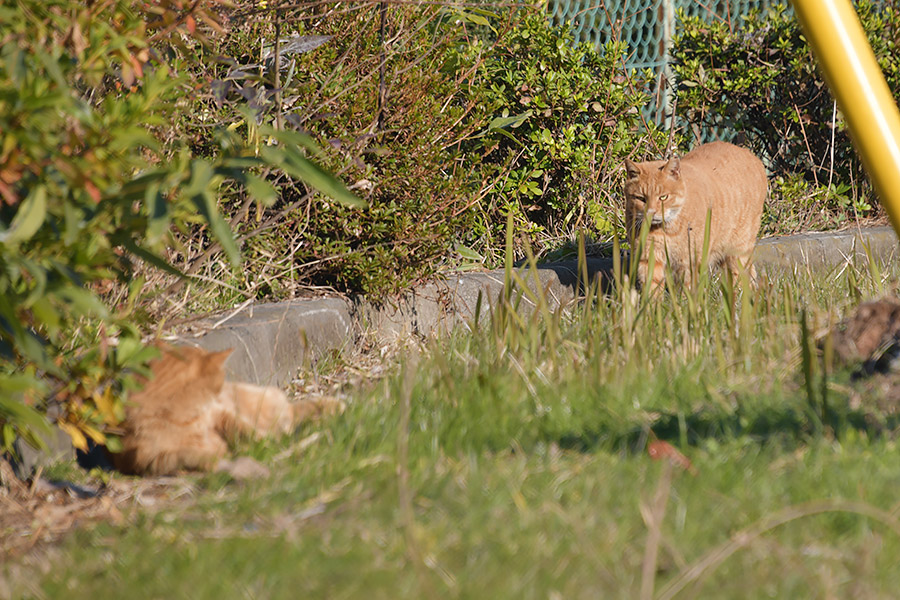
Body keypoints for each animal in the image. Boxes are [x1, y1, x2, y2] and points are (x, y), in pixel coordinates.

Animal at [111, 344, 338, 476]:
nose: (221, 388)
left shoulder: (220, 413)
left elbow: (239, 426)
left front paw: (261, 442)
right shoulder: (146, 459)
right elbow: (184, 454)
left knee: (288, 415)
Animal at [624, 141, 768, 290]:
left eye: (663, 197)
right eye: (641, 198)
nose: (651, 212)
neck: (667, 229)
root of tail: (750, 154)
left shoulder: (690, 262)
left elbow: (689, 290)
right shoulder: (649, 257)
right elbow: (652, 287)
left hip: (738, 249)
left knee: (743, 275)